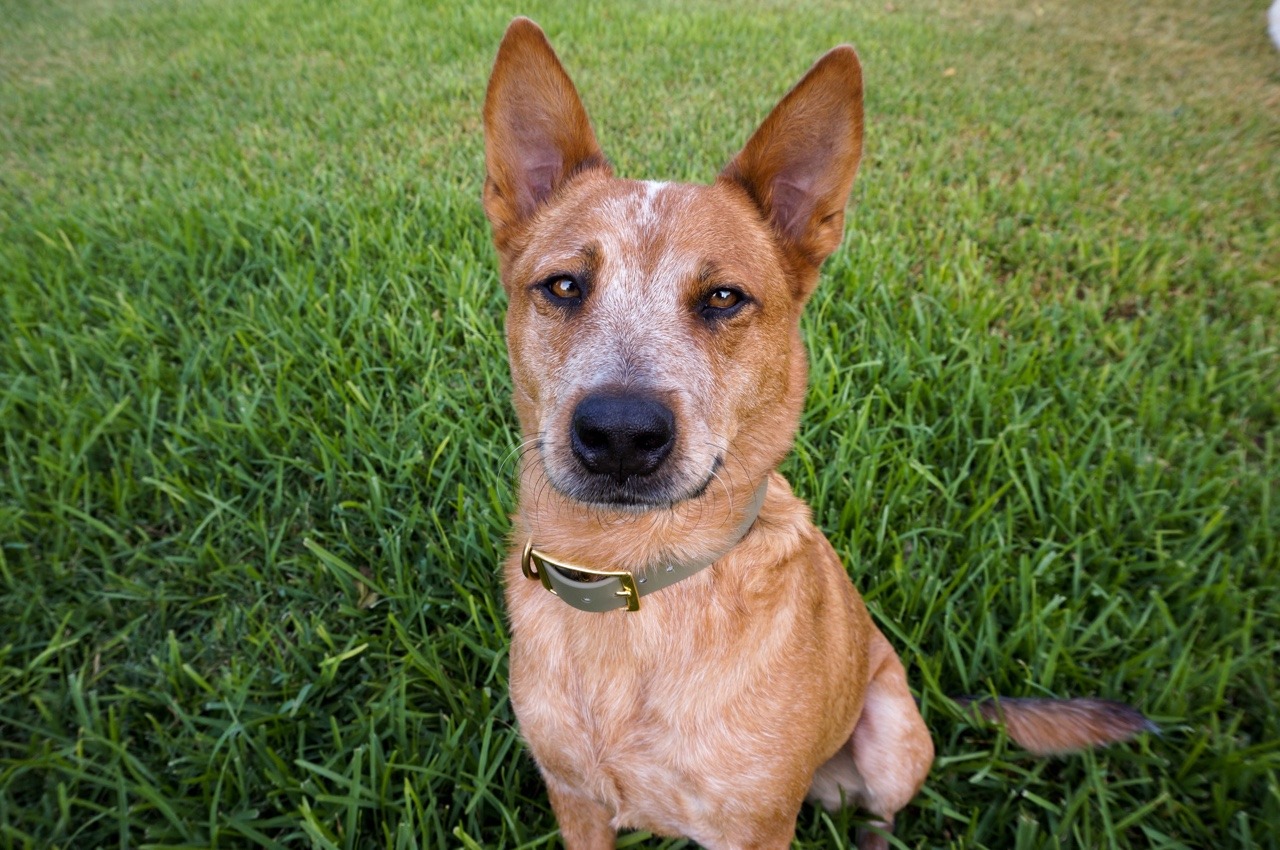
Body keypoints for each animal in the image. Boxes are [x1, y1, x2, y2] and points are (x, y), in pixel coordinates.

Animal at [481, 16, 1152, 844]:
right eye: (564, 285)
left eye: (724, 297)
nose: (620, 435)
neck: (634, 577)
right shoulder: (572, 798)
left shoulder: (756, 827)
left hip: (891, 736)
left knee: (883, 812)